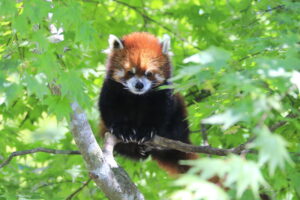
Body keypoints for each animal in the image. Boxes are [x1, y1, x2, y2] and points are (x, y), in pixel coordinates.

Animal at [98, 32, 197, 173]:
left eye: (149, 73)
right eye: (130, 72)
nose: (139, 85)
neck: (138, 96)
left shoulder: (163, 92)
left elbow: (160, 113)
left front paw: (147, 130)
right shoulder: (111, 88)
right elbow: (109, 108)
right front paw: (122, 128)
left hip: (180, 114)